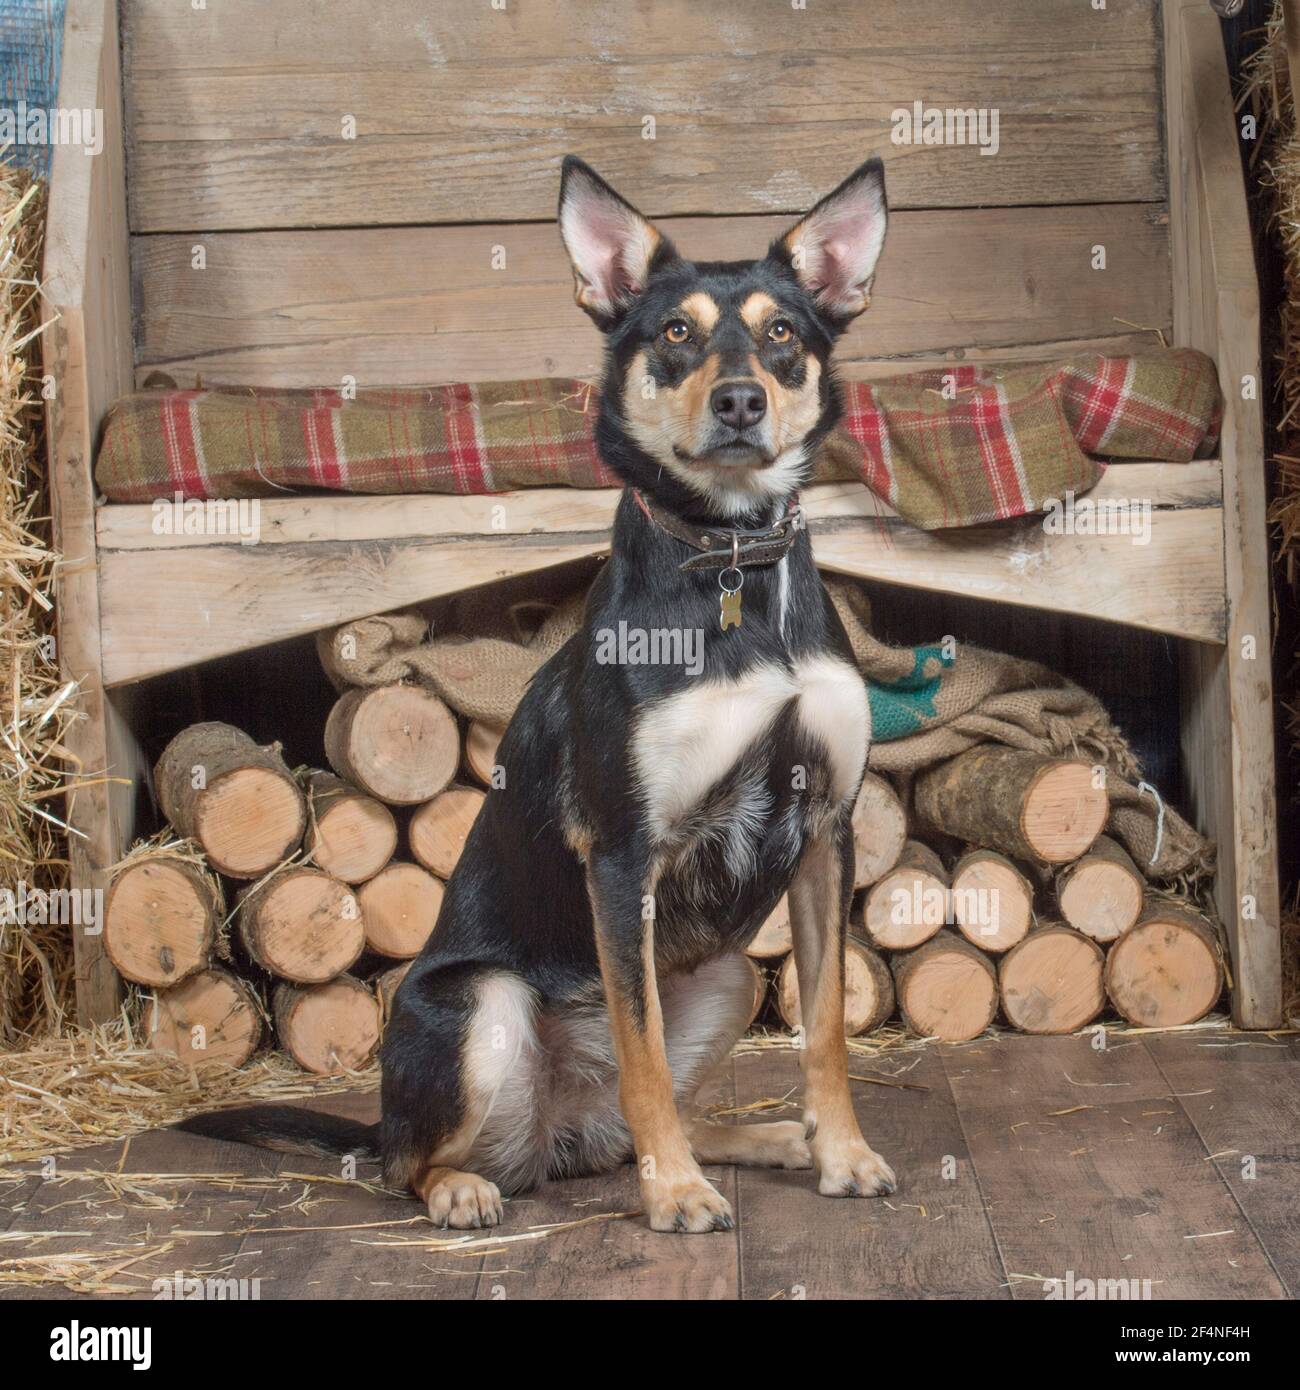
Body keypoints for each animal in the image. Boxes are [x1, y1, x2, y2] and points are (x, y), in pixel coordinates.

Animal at [180, 157, 895, 1234]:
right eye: (673, 333)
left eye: (782, 334)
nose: (739, 401)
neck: (728, 558)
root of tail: (563, 1128)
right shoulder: (625, 849)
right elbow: (643, 1053)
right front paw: (676, 1194)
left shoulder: (824, 833)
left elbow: (822, 1029)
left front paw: (842, 1152)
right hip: (478, 1008)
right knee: (414, 1159)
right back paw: (479, 1185)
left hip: (726, 971)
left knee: (636, 1114)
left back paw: (756, 1139)